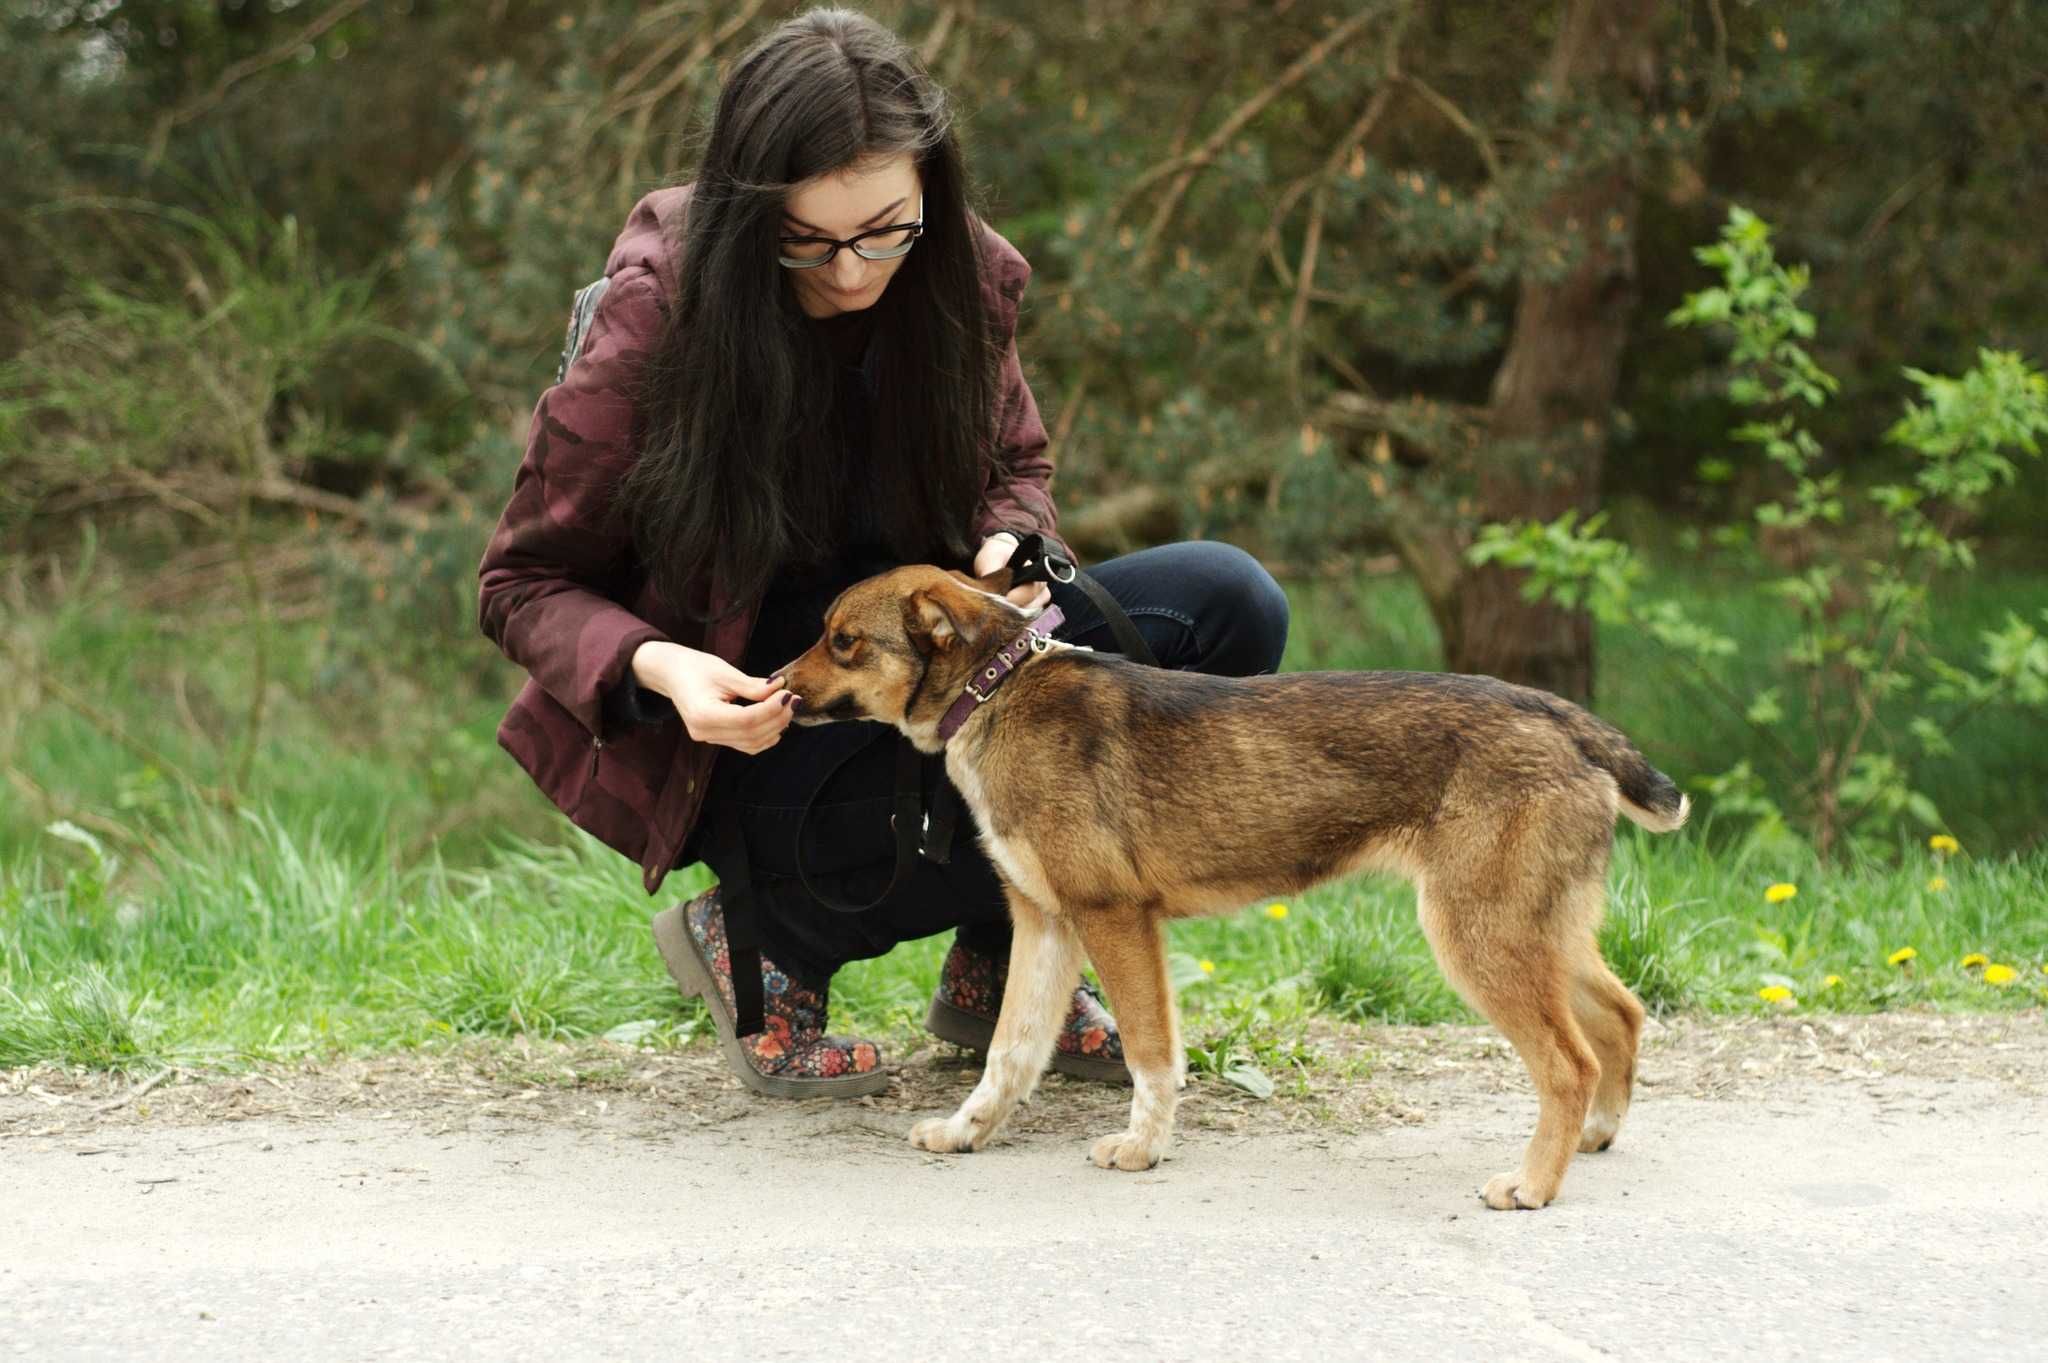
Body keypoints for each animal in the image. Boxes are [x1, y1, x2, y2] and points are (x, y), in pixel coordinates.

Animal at [774, 560, 1687, 1211]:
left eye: (843, 640)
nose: (776, 688)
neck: (1002, 689)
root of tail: (1563, 718)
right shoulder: (1044, 924)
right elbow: (1008, 1053)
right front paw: (970, 1131)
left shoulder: (1115, 919)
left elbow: (1150, 1055)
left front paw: (1141, 1148)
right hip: (1536, 927)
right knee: (1621, 1016)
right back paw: (1595, 1136)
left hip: (1481, 933)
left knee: (1569, 1060)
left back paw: (1533, 1183)